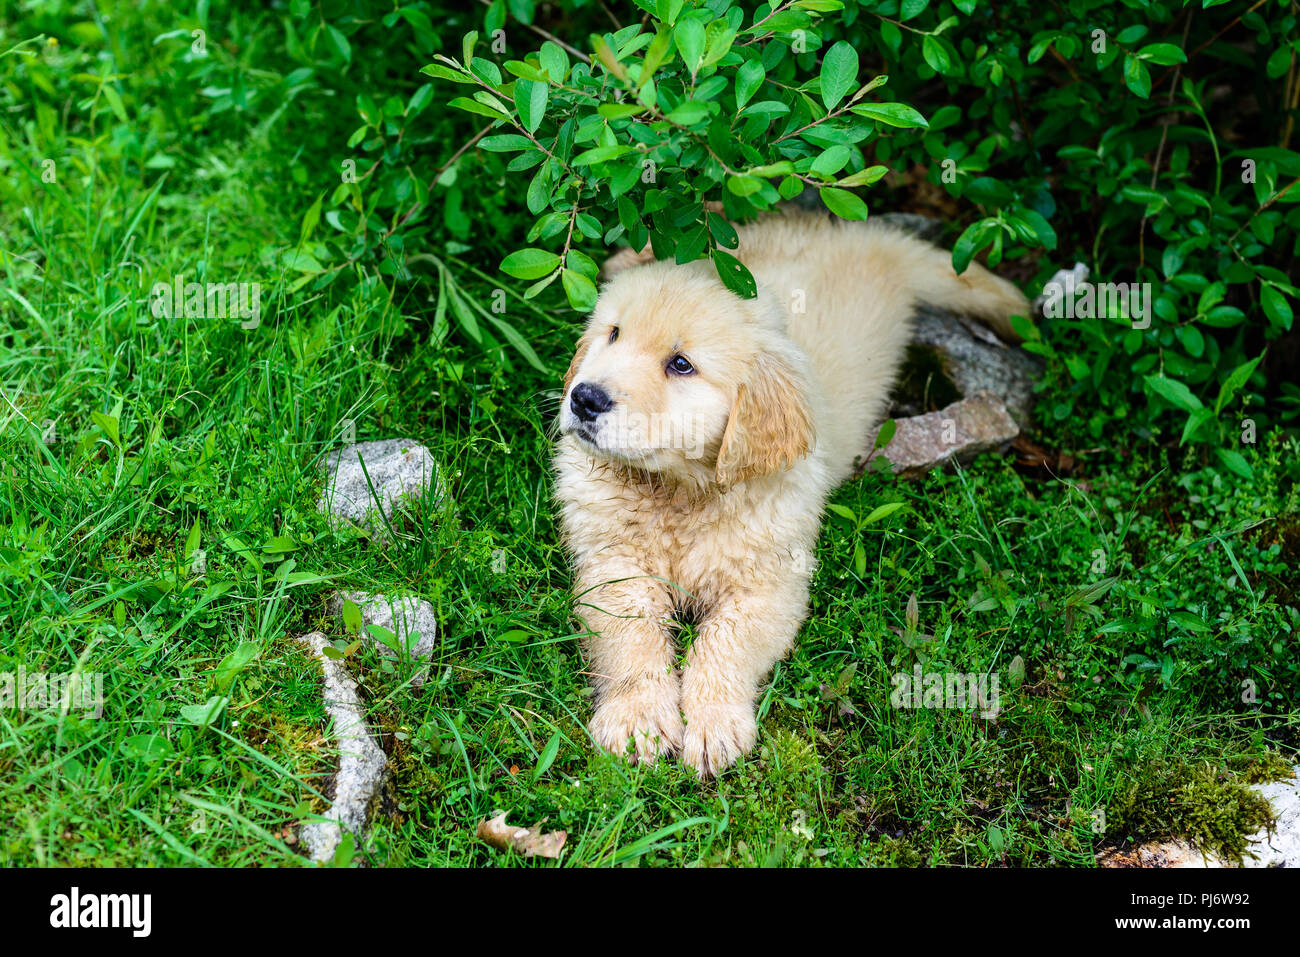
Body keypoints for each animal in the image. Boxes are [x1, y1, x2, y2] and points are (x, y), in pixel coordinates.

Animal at [553, 210, 1029, 780]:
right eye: (613, 334)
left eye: (682, 364)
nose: (584, 398)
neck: (680, 493)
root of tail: (865, 238)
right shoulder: (613, 566)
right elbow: (631, 638)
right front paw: (637, 718)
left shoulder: (771, 586)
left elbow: (722, 642)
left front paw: (712, 724)